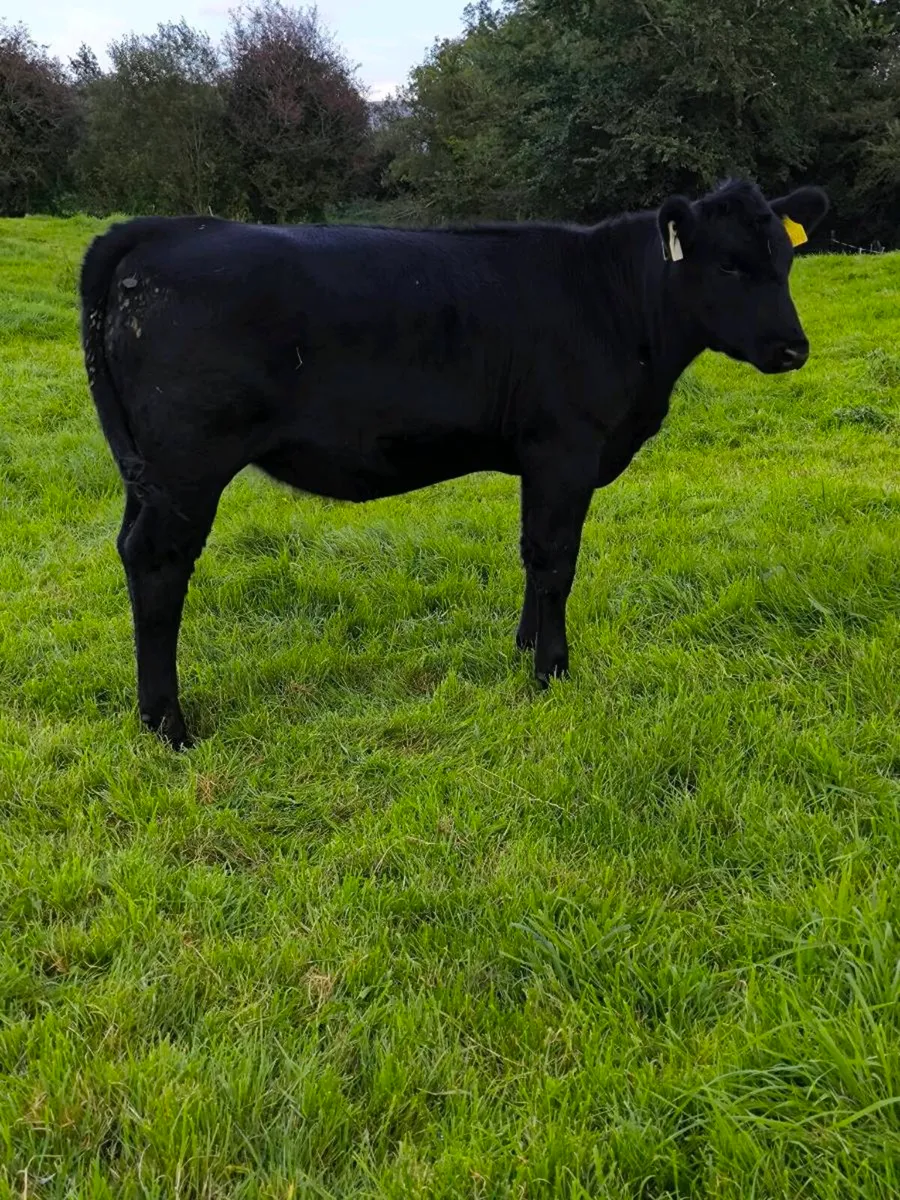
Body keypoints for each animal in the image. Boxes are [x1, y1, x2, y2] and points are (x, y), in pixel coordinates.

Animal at [79, 179, 828, 748]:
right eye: (728, 265)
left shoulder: (539, 458)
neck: (617, 306)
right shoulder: (566, 447)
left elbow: (530, 553)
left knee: (131, 552)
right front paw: (553, 671)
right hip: (188, 463)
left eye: (786, 262)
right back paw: (168, 724)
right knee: (158, 565)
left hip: (148, 471)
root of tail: (159, 229)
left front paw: (524, 647)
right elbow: (556, 561)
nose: (793, 348)